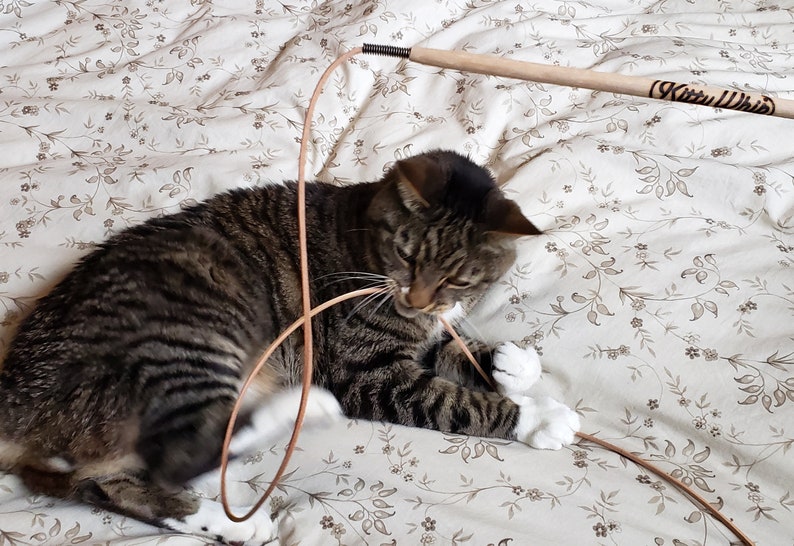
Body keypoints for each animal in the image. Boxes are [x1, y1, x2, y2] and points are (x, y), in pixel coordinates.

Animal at [0, 150, 576, 544]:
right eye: (407, 255)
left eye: (458, 279)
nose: (415, 297)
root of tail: (16, 390)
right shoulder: (364, 371)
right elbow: (452, 399)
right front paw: (538, 417)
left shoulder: (413, 336)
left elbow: (453, 350)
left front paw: (511, 362)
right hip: (192, 341)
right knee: (180, 454)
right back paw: (291, 419)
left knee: (109, 484)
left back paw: (222, 519)